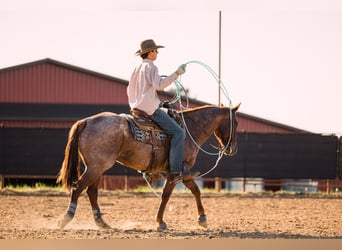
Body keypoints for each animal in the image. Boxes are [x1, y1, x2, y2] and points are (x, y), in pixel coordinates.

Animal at [56, 103, 239, 230]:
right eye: (235, 123)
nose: (232, 149)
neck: (189, 130)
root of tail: (86, 121)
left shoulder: (179, 173)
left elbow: (186, 192)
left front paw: (198, 218)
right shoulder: (179, 171)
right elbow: (175, 194)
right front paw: (166, 221)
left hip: (98, 168)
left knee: (92, 192)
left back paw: (102, 223)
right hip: (96, 167)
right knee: (78, 188)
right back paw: (65, 218)